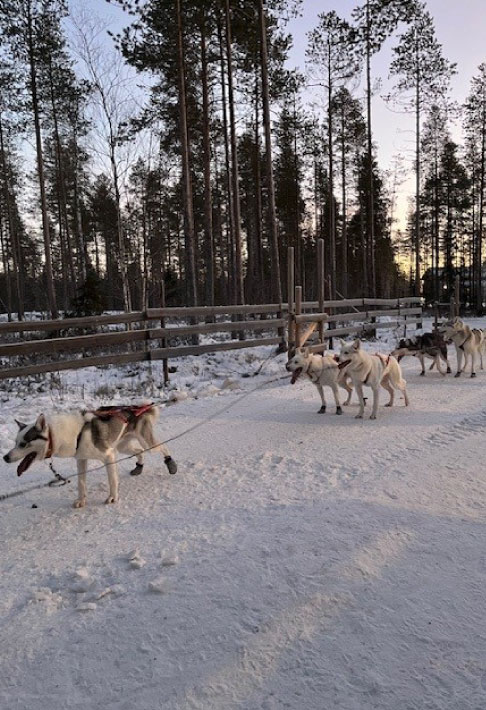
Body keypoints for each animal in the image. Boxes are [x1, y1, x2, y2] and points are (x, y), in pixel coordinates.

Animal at [2, 406, 178, 506]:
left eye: (23, 444)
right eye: (15, 442)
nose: (5, 457)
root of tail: (138, 408)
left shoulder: (108, 456)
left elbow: (112, 481)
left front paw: (113, 498)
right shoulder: (81, 460)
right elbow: (81, 483)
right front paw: (81, 500)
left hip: (148, 445)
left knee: (163, 447)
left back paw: (170, 463)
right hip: (122, 446)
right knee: (139, 451)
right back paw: (139, 467)